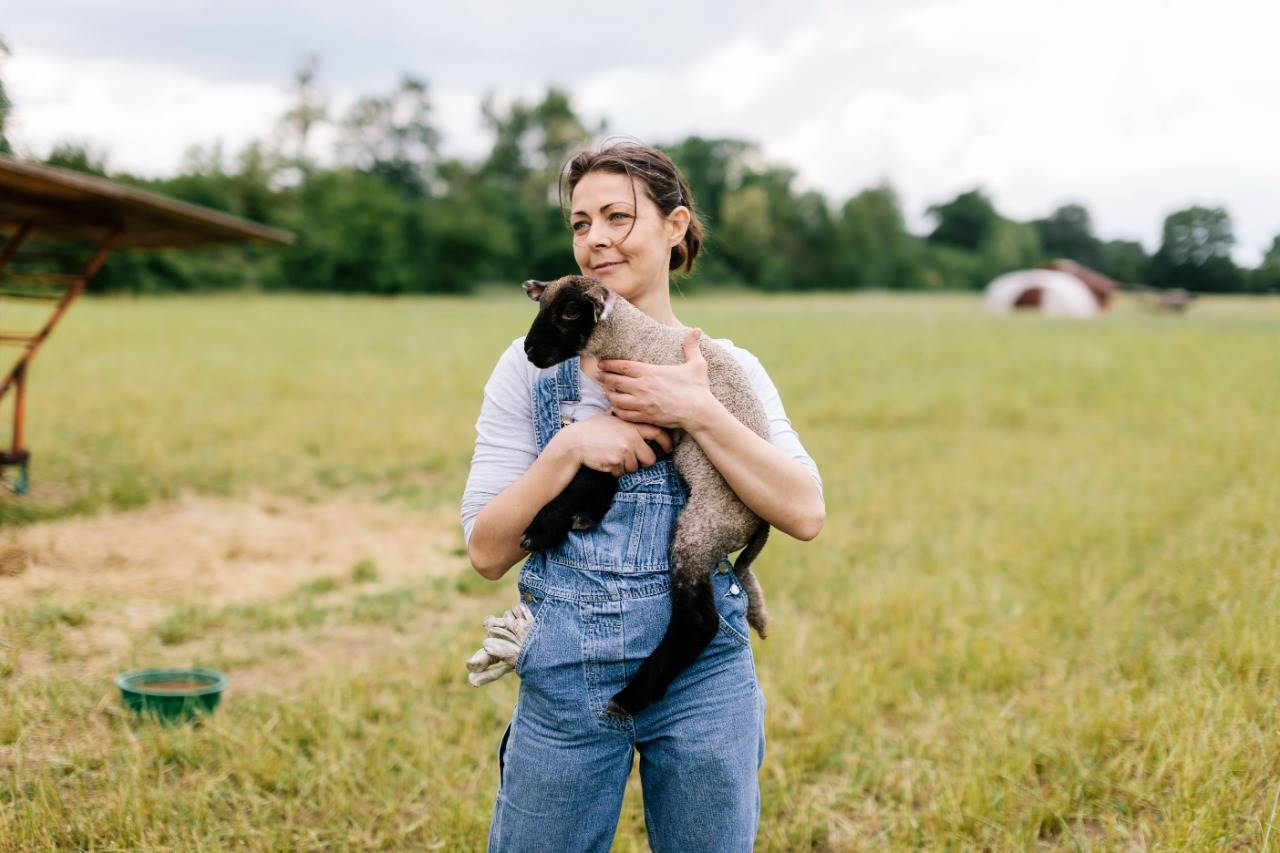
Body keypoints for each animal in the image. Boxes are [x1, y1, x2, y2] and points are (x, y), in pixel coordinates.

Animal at [517, 275, 768, 712]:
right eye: (541, 304)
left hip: (702, 526)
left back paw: (631, 696)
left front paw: (544, 527)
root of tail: (760, 525)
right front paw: (585, 515)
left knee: (699, 620)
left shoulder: (654, 414)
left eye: (570, 311)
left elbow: (590, 472)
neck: (635, 340)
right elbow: (602, 468)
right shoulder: (643, 426)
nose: (531, 350)